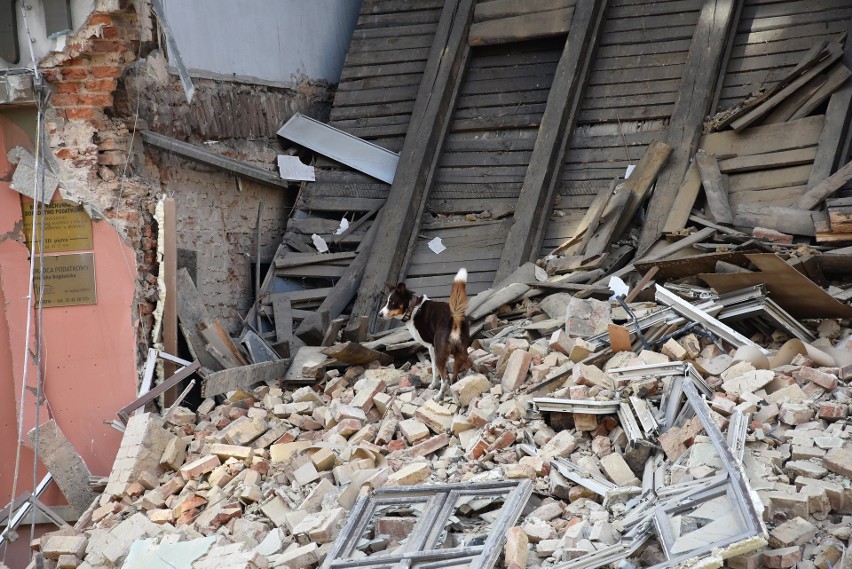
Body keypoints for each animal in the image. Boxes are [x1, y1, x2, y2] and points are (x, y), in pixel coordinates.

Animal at [380, 268, 472, 398]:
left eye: (392, 302)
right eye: (386, 302)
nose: (380, 314)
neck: (413, 308)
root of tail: (454, 317)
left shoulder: (431, 347)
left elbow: (434, 370)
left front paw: (433, 385)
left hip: (440, 353)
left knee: (445, 380)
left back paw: (438, 396)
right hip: (460, 353)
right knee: (453, 376)